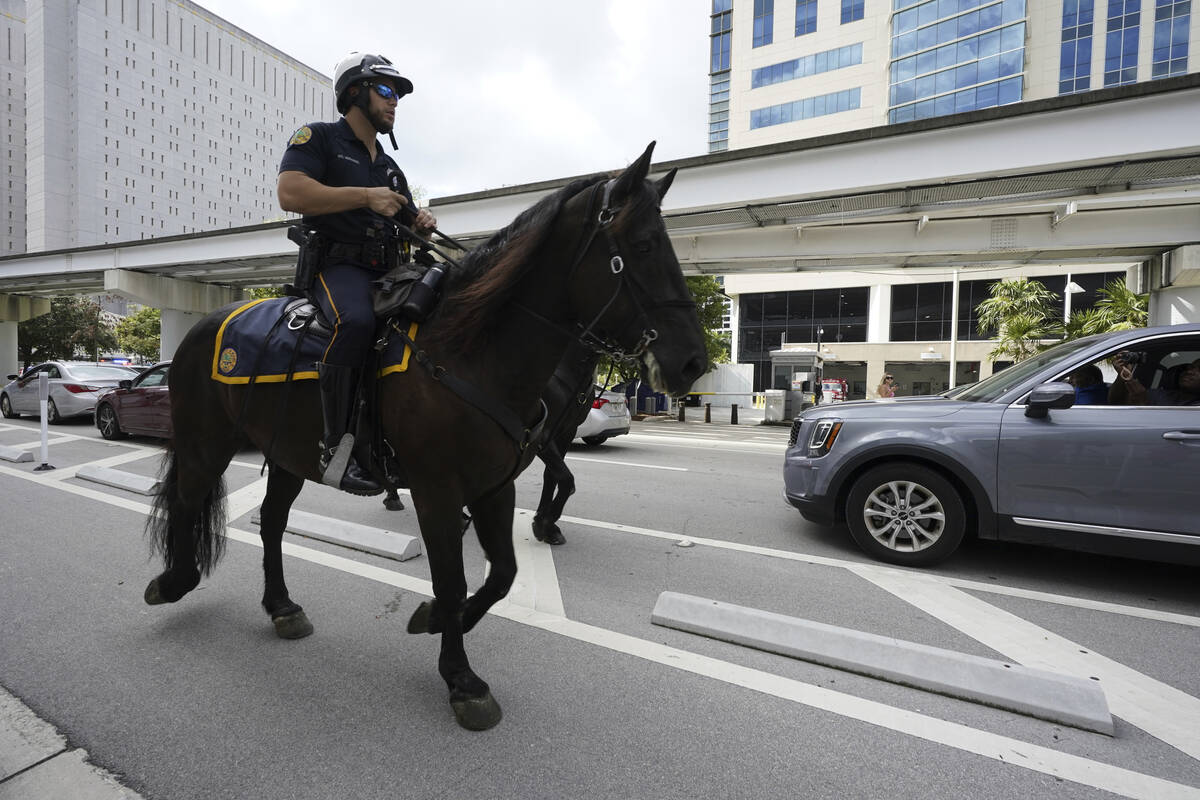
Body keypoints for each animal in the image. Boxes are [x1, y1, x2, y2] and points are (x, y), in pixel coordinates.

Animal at [142, 143, 700, 734]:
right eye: (643, 245)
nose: (692, 362)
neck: (473, 352)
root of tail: (206, 325)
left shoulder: (495, 486)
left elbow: (502, 574)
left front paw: (436, 619)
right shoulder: (438, 491)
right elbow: (452, 581)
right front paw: (461, 678)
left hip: (290, 452)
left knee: (271, 523)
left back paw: (282, 606)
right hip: (207, 441)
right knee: (187, 500)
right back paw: (175, 581)